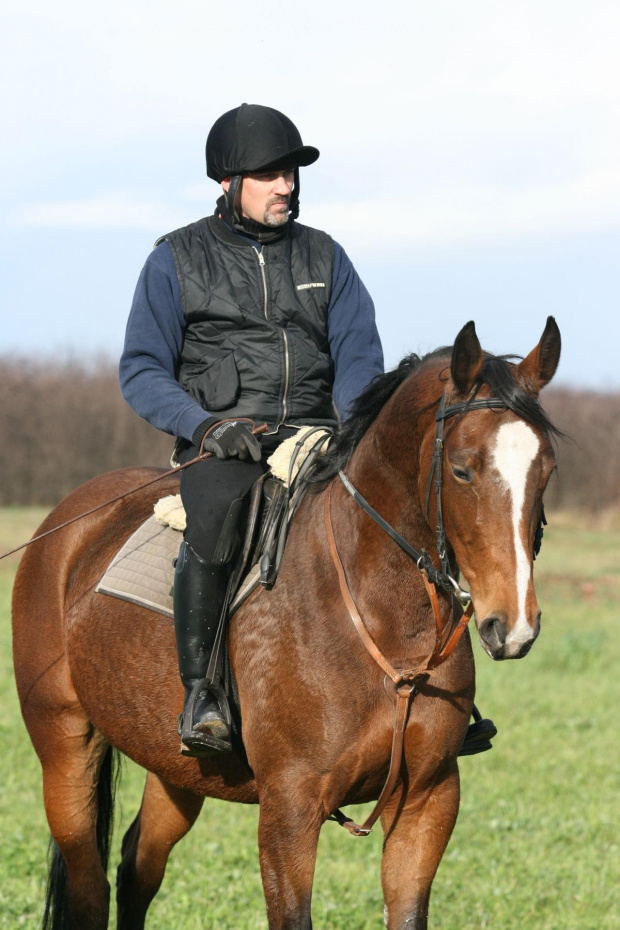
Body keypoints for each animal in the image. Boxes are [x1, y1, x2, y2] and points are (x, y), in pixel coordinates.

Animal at [10, 316, 560, 924]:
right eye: (462, 470)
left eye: (546, 470)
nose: (513, 625)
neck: (380, 622)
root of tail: (66, 527)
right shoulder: (289, 810)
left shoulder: (429, 800)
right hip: (65, 746)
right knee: (90, 887)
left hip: (176, 769)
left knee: (138, 870)